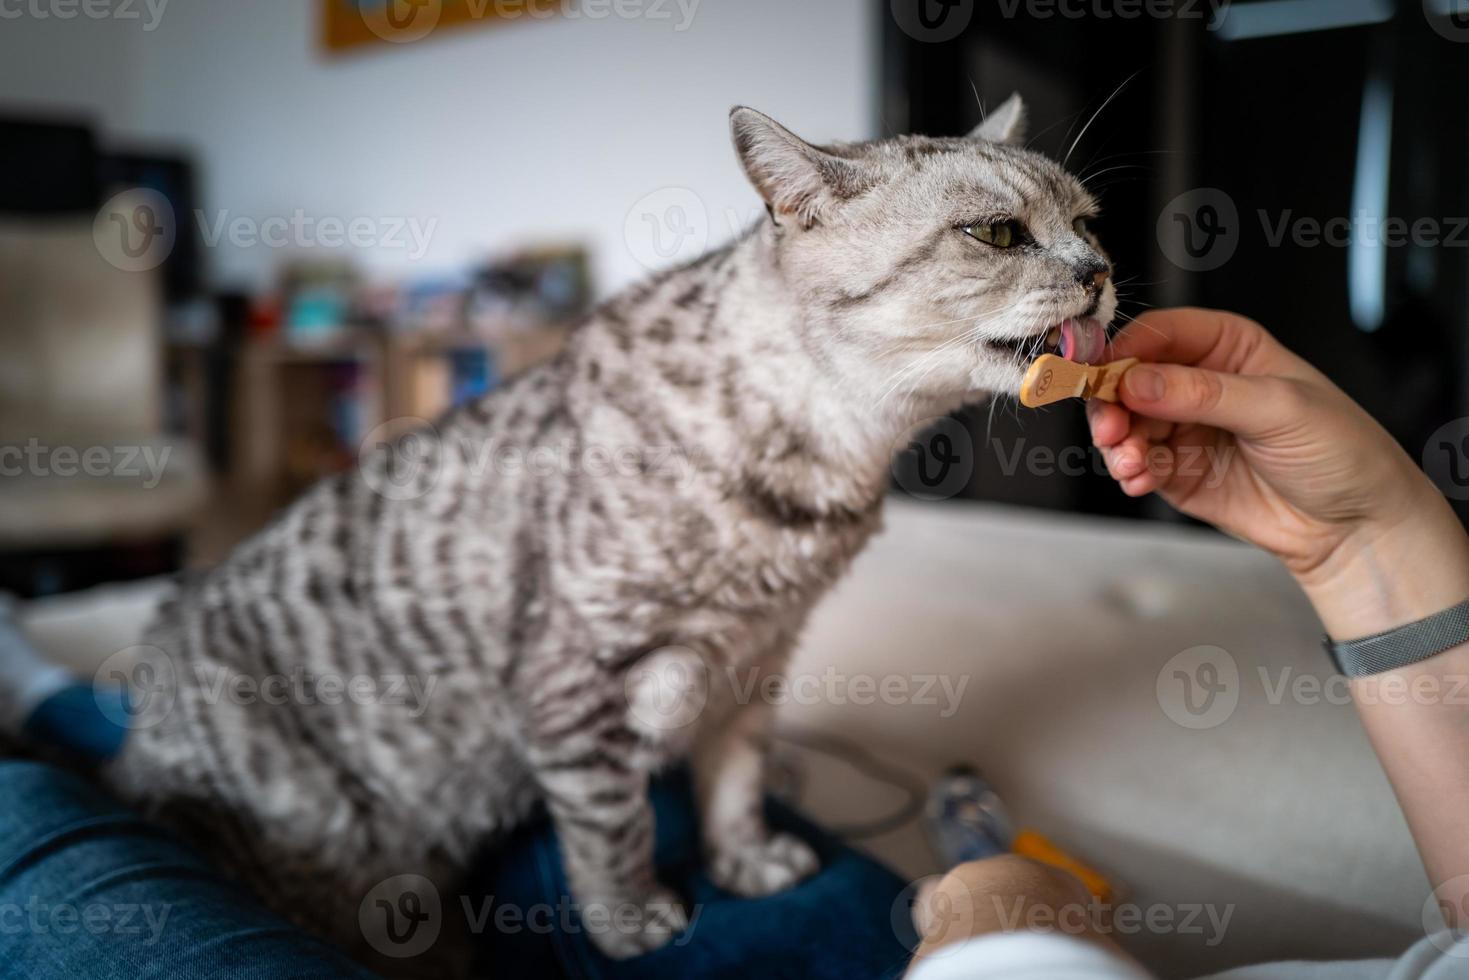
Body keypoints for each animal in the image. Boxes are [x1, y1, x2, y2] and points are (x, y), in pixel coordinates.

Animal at [97, 94, 1116, 975]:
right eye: (996, 233)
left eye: (1090, 221)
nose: (1099, 273)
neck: (830, 462)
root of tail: (137, 744)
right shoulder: (575, 680)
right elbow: (611, 827)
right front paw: (632, 923)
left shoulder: (759, 659)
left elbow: (735, 782)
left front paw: (745, 860)